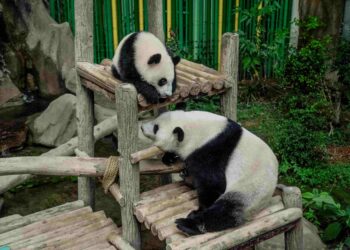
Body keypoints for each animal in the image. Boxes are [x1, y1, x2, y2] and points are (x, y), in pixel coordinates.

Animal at [141, 110, 278, 235]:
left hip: (250, 189)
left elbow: (213, 184)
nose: (142, 127)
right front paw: (169, 158)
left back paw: (189, 225)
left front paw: (200, 209)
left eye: (156, 128)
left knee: (227, 210)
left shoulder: (212, 151)